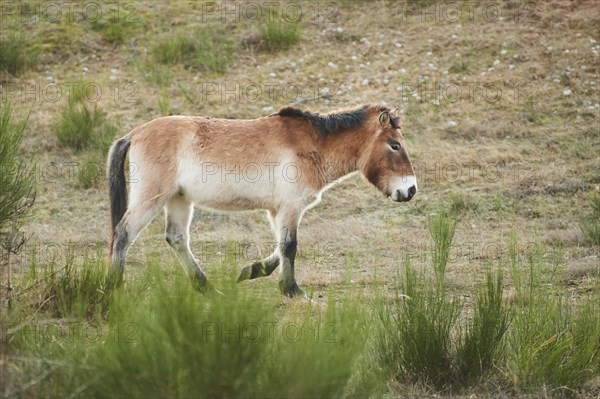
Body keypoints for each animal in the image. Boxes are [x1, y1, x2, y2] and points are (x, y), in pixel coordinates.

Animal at [108, 104, 418, 298]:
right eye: (395, 145)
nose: (411, 189)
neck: (311, 145)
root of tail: (133, 134)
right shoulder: (290, 209)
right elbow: (290, 246)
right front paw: (292, 290)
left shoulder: (277, 211)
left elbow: (280, 247)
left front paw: (251, 271)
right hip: (152, 198)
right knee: (123, 233)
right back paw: (114, 286)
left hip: (179, 200)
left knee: (176, 238)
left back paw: (207, 289)